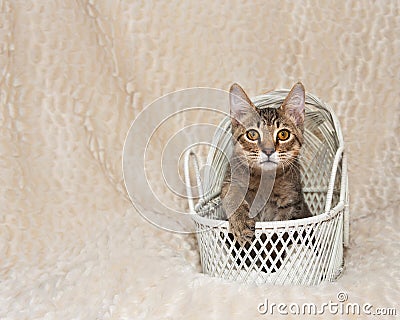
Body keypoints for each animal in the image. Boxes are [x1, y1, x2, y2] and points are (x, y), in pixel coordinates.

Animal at [220, 82, 310, 245]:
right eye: (252, 134)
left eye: (283, 134)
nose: (268, 150)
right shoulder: (230, 180)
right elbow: (232, 195)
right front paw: (241, 220)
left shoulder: (292, 202)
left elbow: (280, 230)